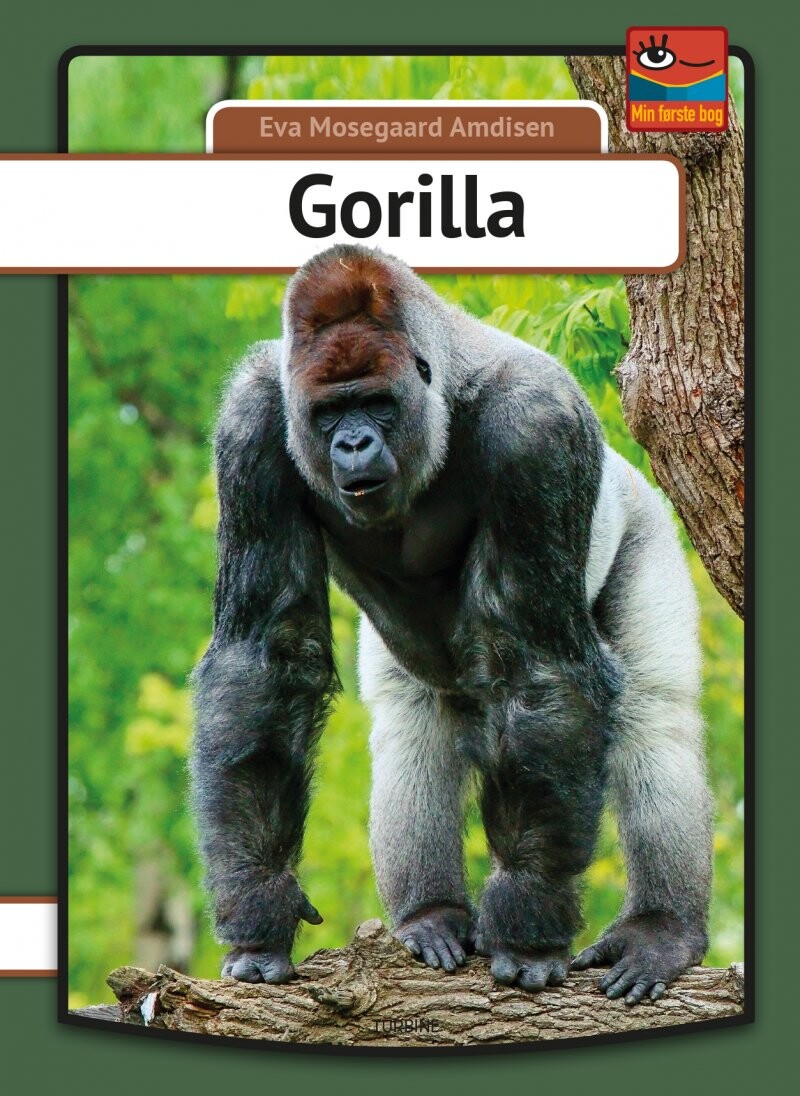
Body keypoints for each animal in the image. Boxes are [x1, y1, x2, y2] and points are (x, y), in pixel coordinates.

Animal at [190, 243, 713, 1007]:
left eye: (377, 403)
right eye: (329, 412)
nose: (352, 444)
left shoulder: (537, 428)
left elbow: (538, 669)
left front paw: (527, 926)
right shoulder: (252, 422)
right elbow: (264, 660)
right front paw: (259, 906)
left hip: (642, 516)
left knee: (654, 714)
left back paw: (661, 929)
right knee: (412, 724)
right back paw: (429, 915)